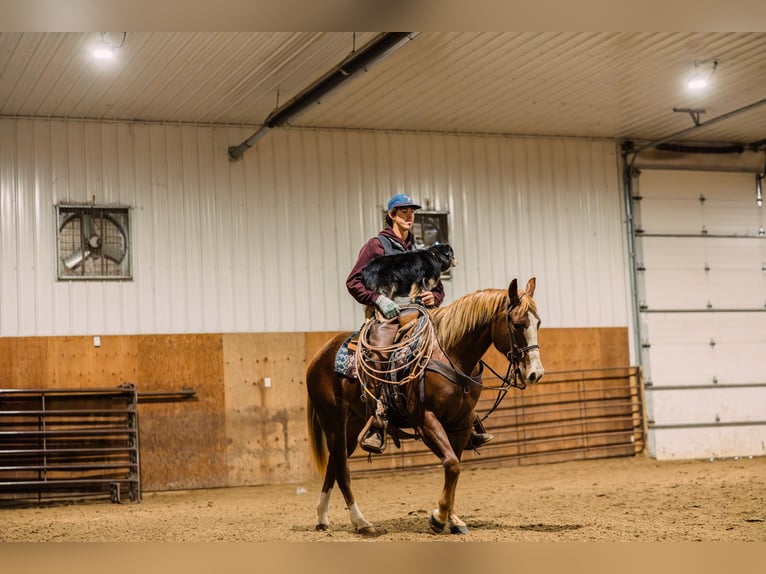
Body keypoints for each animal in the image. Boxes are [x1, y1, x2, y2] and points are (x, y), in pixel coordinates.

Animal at [306, 278, 544, 536]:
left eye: (538, 323)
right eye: (518, 325)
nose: (536, 373)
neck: (451, 354)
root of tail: (319, 356)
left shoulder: (461, 425)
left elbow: (455, 466)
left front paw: (453, 519)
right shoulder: (426, 421)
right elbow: (451, 464)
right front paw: (438, 517)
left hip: (354, 423)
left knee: (334, 463)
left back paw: (322, 516)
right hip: (332, 420)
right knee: (341, 468)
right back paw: (361, 521)